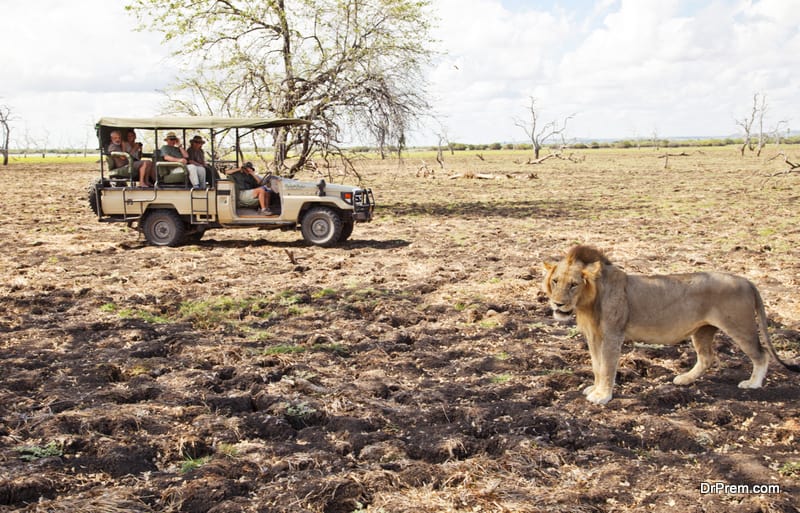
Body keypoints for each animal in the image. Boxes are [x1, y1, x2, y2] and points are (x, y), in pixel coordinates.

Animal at [540, 244, 796, 404]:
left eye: (574, 284)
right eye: (555, 281)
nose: (557, 304)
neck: (588, 301)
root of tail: (747, 281)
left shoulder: (613, 333)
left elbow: (608, 367)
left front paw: (603, 396)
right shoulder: (594, 336)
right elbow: (596, 365)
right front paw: (594, 389)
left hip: (740, 327)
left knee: (761, 354)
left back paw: (753, 384)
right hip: (702, 330)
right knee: (707, 357)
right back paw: (684, 379)